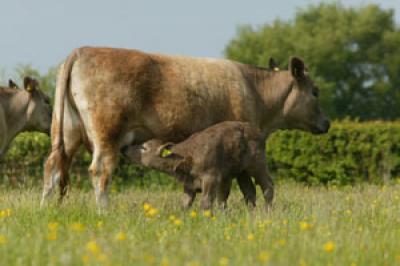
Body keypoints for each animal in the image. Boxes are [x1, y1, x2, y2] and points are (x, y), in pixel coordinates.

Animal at [39, 46, 328, 209]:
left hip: (66, 132)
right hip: (107, 134)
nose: (326, 122)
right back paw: (104, 211)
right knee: (100, 171)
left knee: (53, 166)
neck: (255, 91)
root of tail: (82, 50)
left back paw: (47, 208)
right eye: (315, 91)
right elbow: (231, 189)